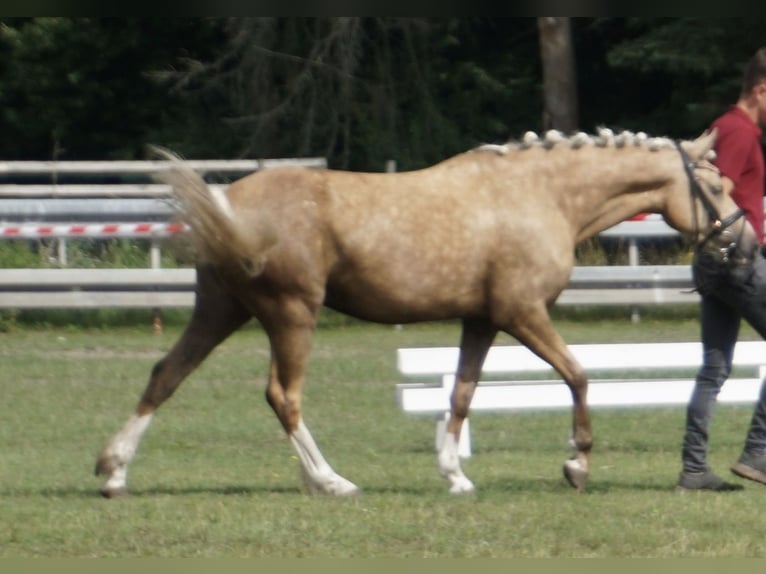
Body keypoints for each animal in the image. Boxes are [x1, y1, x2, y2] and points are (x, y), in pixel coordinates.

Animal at [93, 128, 748, 498]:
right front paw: (577, 464)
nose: (745, 245)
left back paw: (114, 471)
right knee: (283, 396)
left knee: (166, 375)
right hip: (292, 315)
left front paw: (455, 476)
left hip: (221, 311)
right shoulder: (523, 314)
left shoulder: (482, 321)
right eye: (717, 186)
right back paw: (330, 481)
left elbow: (461, 394)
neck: (542, 194)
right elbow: (579, 375)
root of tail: (227, 202)